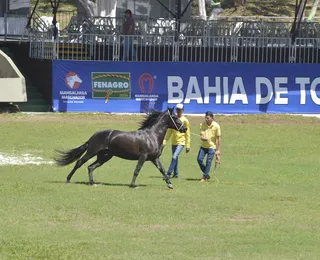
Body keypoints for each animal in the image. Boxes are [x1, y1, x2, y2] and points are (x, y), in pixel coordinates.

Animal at [53, 107, 186, 189]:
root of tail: (94, 135)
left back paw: (92, 183)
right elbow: (137, 170)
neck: (151, 136)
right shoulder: (143, 156)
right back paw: (68, 179)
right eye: (175, 117)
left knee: (90, 167)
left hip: (104, 157)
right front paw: (133, 185)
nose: (184, 128)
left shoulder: (154, 158)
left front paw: (170, 184)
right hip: (92, 151)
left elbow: (162, 170)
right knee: (80, 162)